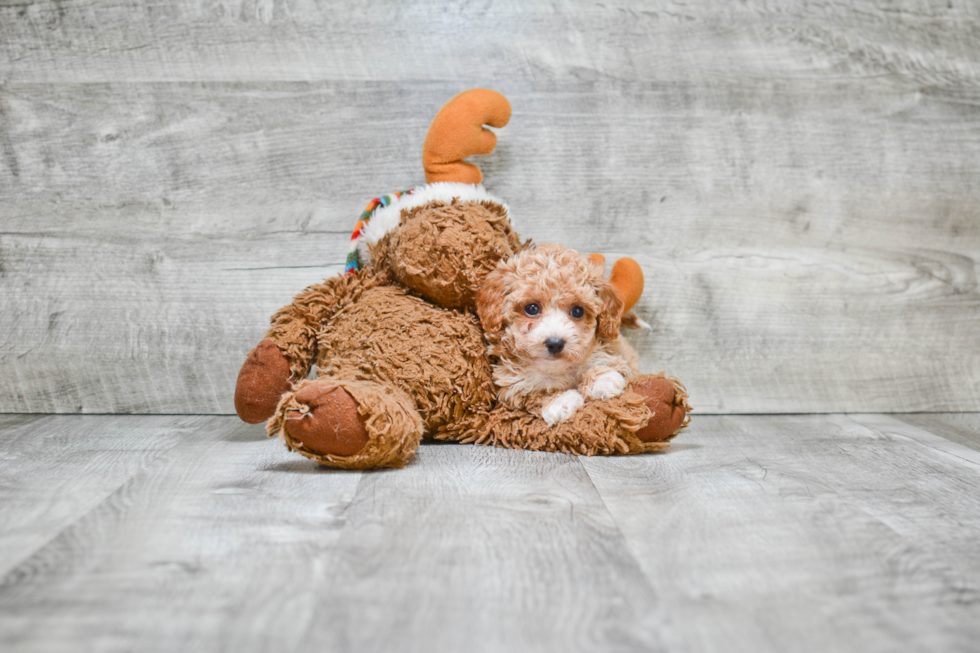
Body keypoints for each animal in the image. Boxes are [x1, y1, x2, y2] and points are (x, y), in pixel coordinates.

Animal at [476, 243, 644, 422]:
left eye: (577, 311)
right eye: (532, 308)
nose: (555, 344)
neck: (555, 369)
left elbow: (607, 362)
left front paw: (602, 378)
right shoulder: (512, 388)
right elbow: (535, 394)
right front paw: (561, 401)